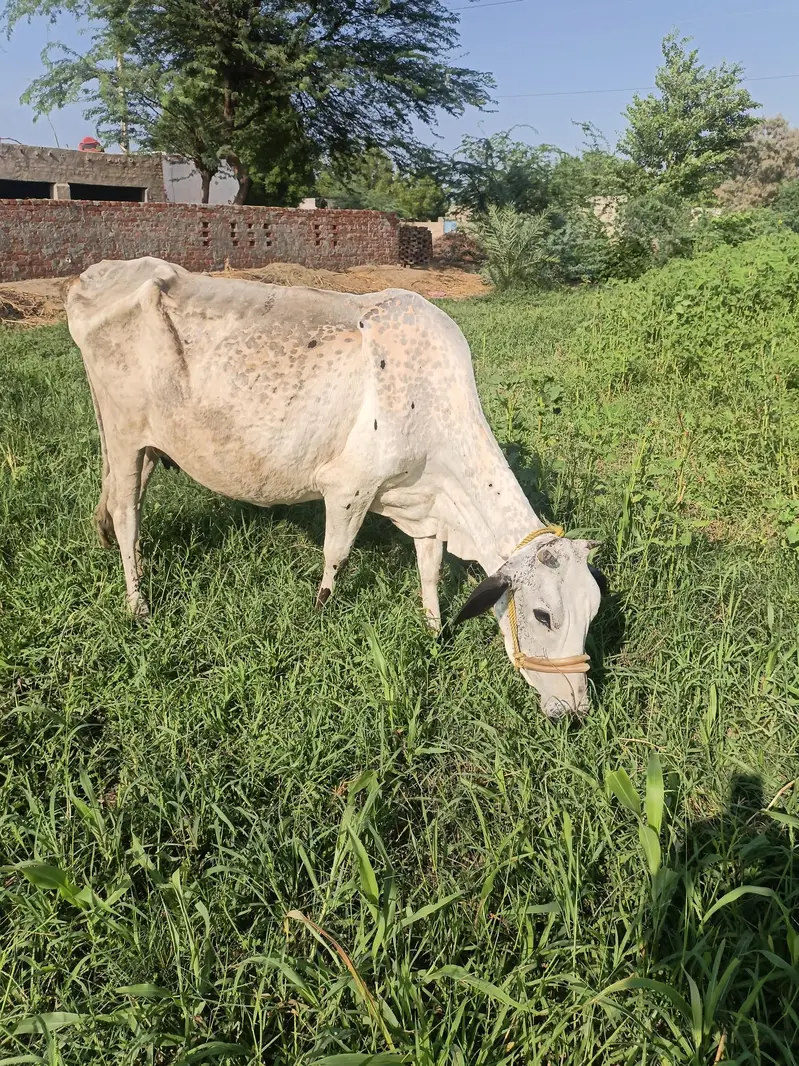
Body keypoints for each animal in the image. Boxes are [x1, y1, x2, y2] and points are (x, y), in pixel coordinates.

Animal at [66, 256, 603, 719]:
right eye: (542, 615)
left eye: (592, 612)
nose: (576, 707)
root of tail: (97, 275)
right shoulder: (349, 488)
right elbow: (336, 559)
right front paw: (319, 618)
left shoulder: (425, 506)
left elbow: (429, 571)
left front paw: (432, 630)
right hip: (124, 436)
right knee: (127, 513)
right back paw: (137, 603)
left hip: (142, 447)